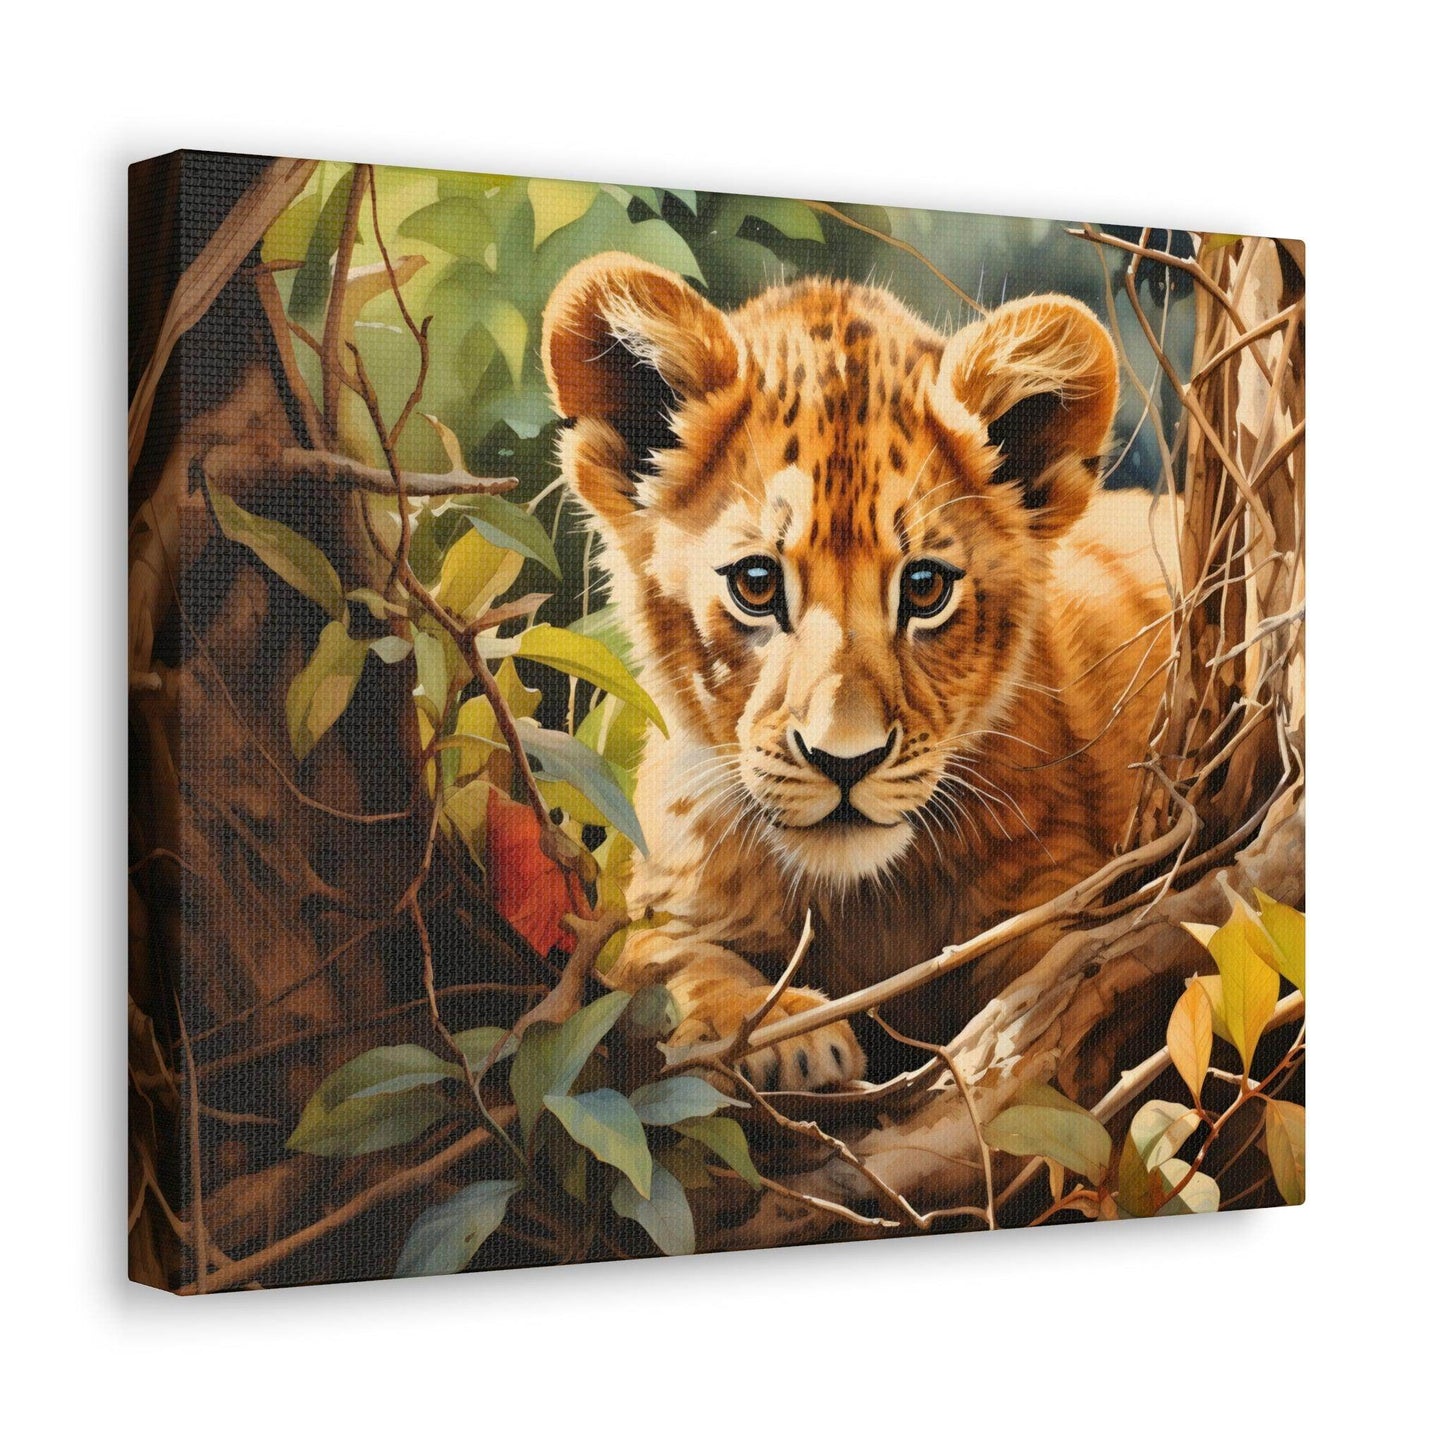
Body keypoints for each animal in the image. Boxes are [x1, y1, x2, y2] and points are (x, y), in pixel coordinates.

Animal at [541, 253, 1176, 1089]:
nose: (845, 760)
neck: (861, 901)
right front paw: (776, 1030)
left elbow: (1071, 976)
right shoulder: (658, 901)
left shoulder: (1062, 892)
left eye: (925, 587)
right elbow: (658, 957)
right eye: (755, 583)